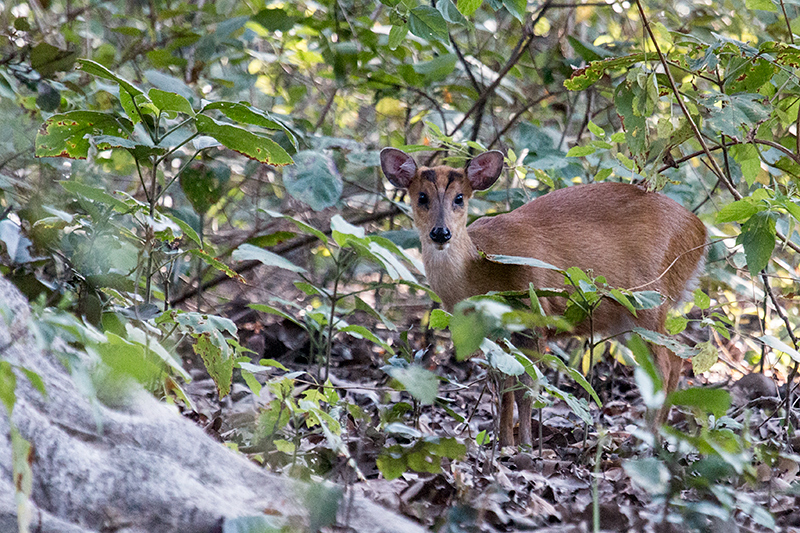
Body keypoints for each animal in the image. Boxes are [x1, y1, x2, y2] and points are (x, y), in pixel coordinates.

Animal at [382, 148, 708, 446]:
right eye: (421, 197)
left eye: (459, 198)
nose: (441, 233)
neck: (480, 270)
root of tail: (700, 230)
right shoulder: (490, 334)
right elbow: (503, 388)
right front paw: (505, 443)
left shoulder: (535, 315)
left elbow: (526, 388)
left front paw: (523, 446)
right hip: (627, 317)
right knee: (677, 354)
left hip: (649, 297)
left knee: (665, 363)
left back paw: (645, 442)